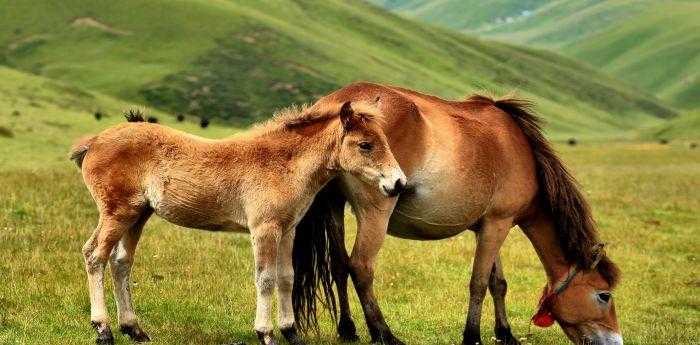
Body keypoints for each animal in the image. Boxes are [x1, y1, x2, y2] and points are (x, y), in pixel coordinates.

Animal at [68, 101, 408, 344]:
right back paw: (103, 330)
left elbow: (286, 277)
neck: (282, 164)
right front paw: (266, 333)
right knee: (94, 255)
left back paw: (134, 329)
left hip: (138, 215)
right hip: (118, 212)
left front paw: (291, 333)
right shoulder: (264, 229)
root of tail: (93, 141)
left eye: (385, 141)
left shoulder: (287, 230)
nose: (398, 183)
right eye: (365, 145)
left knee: (121, 262)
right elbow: (266, 278)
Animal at [292, 82, 620, 342]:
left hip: (334, 207)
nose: (616, 341)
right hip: (376, 212)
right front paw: (472, 335)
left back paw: (348, 329)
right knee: (360, 267)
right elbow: (478, 283)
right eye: (604, 295)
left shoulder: (488, 226)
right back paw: (383, 333)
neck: (522, 154)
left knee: (338, 266)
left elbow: (497, 283)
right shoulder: (498, 224)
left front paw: (505, 332)